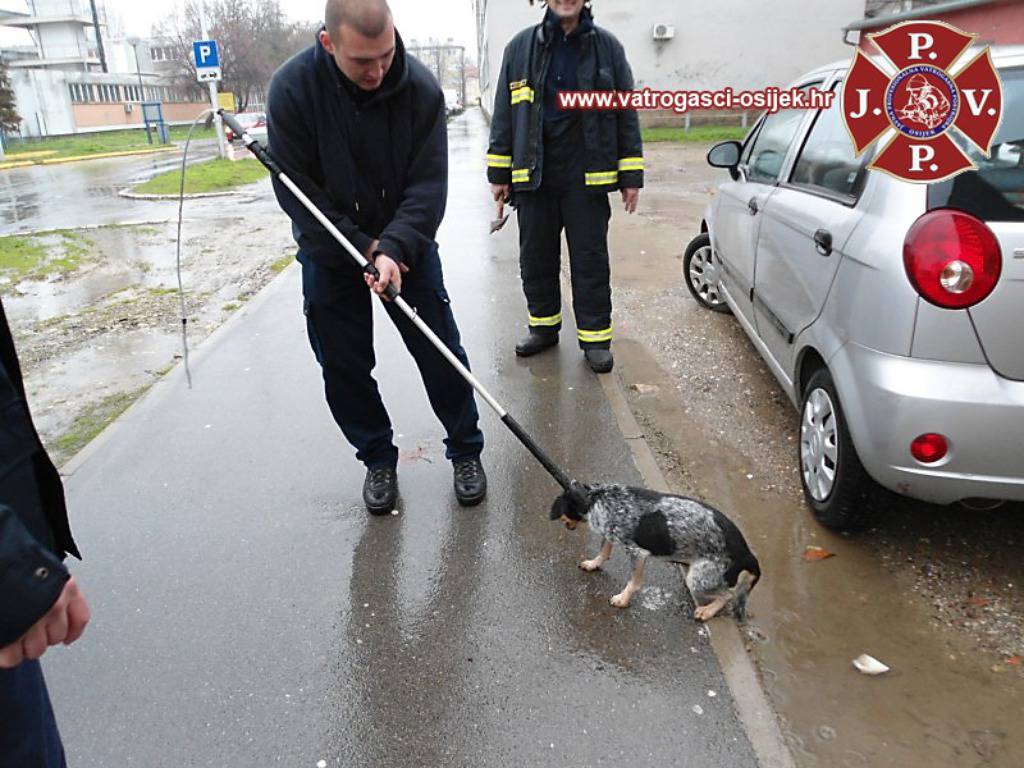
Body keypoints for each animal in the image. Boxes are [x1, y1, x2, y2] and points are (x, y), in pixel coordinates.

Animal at [552, 483, 761, 622]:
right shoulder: (611, 532)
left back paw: (707, 611)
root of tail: (747, 553)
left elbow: (633, 582)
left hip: (699, 578)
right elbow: (604, 551)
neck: (597, 498)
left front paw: (622, 599)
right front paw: (593, 564)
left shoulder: (637, 553)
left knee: (728, 595)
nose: (563, 523)